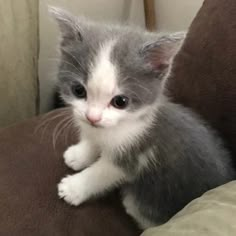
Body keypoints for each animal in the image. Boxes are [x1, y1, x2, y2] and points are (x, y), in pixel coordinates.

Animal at [50, 6, 235, 229]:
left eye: (120, 101)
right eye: (78, 91)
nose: (92, 117)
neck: (122, 126)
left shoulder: (135, 155)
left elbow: (101, 173)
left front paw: (74, 188)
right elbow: (94, 141)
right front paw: (80, 154)